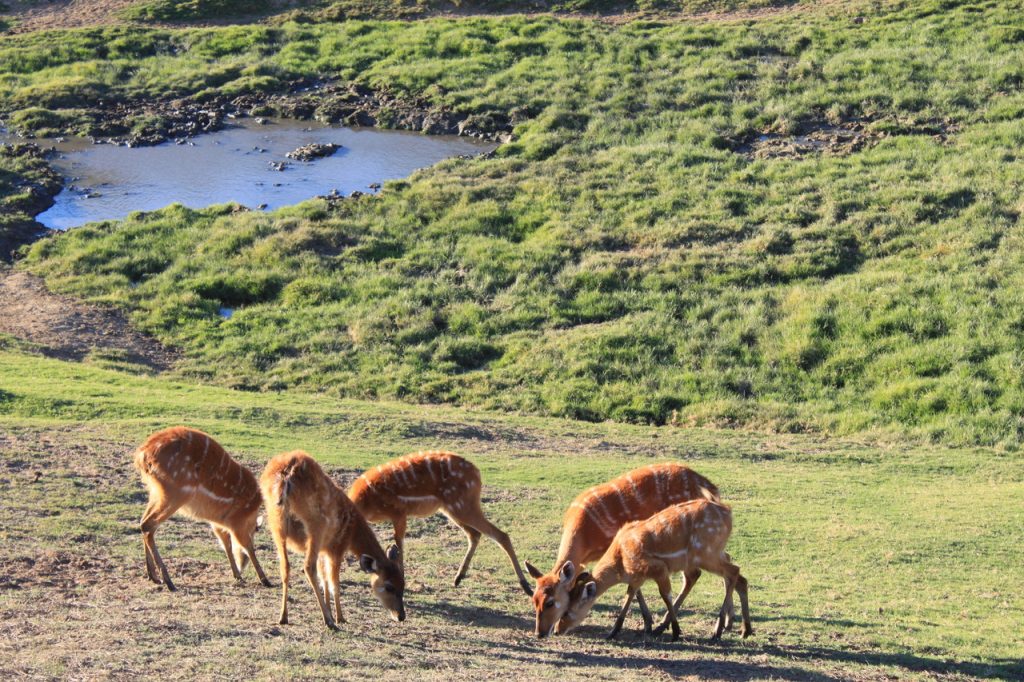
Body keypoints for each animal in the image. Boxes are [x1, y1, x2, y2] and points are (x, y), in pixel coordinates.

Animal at [134, 425, 274, 589]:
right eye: (256, 531)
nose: (243, 564)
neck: (250, 510)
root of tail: (143, 454)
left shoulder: (217, 523)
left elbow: (226, 544)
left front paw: (238, 576)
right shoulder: (237, 523)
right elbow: (248, 547)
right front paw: (265, 580)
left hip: (155, 492)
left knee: (143, 523)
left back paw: (154, 577)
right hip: (176, 494)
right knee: (148, 525)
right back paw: (169, 582)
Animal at [262, 448, 405, 630]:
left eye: (403, 583)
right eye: (389, 586)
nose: (401, 616)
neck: (353, 532)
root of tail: (286, 479)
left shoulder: (325, 549)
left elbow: (324, 578)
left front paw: (331, 611)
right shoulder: (336, 547)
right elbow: (334, 582)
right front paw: (340, 617)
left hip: (276, 522)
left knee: (285, 566)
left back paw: (283, 617)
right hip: (315, 525)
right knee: (308, 567)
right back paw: (329, 622)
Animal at [348, 448, 532, 593]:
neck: (366, 501)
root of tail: (478, 474)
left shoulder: (399, 513)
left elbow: (398, 542)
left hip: (463, 507)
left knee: (501, 535)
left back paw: (526, 586)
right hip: (452, 510)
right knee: (474, 534)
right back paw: (457, 578)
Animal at [528, 462, 720, 638]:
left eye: (551, 602)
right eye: (534, 600)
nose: (540, 633)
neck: (585, 538)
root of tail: (706, 484)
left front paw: (647, 624)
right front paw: (647, 623)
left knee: (693, 574)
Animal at [552, 493, 753, 638]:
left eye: (567, 612)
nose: (557, 630)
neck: (620, 560)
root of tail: (728, 512)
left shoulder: (658, 568)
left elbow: (665, 596)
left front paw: (675, 632)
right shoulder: (637, 577)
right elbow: (629, 597)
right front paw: (614, 631)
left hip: (706, 554)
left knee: (733, 571)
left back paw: (717, 629)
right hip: (710, 555)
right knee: (736, 575)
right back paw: (744, 629)